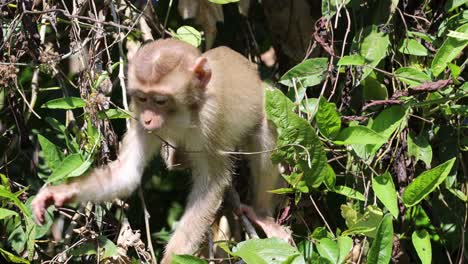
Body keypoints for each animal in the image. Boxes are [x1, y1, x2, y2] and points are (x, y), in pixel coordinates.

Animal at [32, 38, 286, 262]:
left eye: (161, 100)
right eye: (143, 98)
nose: (148, 119)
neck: (185, 112)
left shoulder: (210, 120)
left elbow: (211, 185)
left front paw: (172, 259)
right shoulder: (137, 114)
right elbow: (126, 174)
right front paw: (60, 193)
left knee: (266, 128)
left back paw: (261, 214)